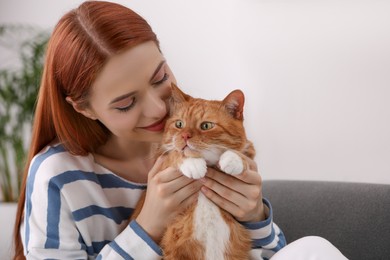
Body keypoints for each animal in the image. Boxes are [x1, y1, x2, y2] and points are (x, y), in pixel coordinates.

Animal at [134, 84, 256, 258]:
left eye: (206, 126)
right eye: (179, 124)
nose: (184, 136)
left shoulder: (249, 150)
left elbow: (244, 152)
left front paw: (232, 159)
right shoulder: (160, 158)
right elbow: (174, 153)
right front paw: (192, 163)